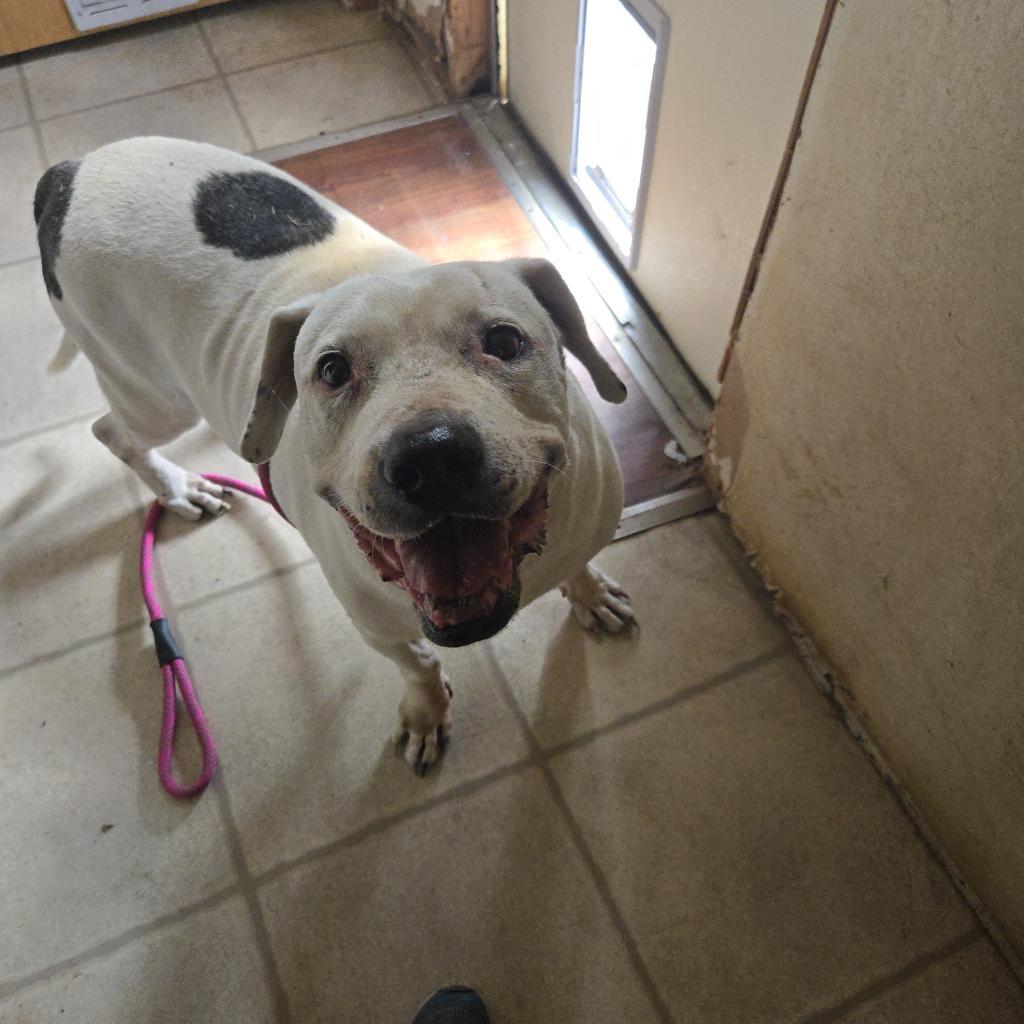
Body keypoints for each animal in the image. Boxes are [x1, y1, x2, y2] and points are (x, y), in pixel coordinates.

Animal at [36, 140, 630, 770]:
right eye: (332, 370)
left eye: (505, 341)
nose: (431, 456)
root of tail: (69, 170)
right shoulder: (375, 626)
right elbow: (418, 663)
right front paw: (426, 712)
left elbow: (578, 566)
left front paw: (590, 594)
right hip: (153, 395)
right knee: (112, 432)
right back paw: (178, 489)